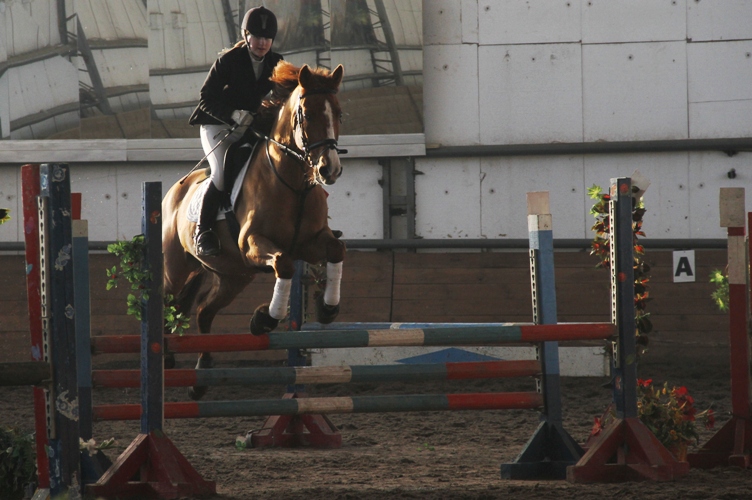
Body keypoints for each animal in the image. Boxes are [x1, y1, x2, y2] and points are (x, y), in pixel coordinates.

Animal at [162, 61, 346, 399]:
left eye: (338, 114)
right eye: (306, 115)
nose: (330, 169)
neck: (294, 184)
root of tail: (174, 192)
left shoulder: (311, 242)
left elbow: (336, 250)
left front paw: (327, 309)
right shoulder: (253, 244)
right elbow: (284, 264)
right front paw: (265, 319)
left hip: (234, 276)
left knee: (203, 311)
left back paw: (201, 377)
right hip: (177, 268)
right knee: (167, 305)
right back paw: (167, 359)